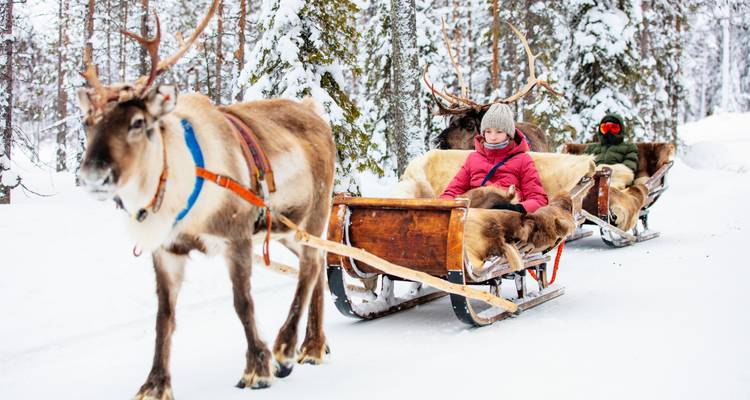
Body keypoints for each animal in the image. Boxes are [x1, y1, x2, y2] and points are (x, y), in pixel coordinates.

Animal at [75, 1, 335, 398]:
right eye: (88, 122)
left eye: (137, 122)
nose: (93, 176)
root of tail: (315, 111)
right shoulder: (167, 251)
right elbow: (163, 317)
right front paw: (155, 384)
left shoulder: (236, 237)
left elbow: (243, 303)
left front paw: (258, 368)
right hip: (286, 228)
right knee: (320, 263)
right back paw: (314, 346)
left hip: (316, 210)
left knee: (308, 266)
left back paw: (286, 348)